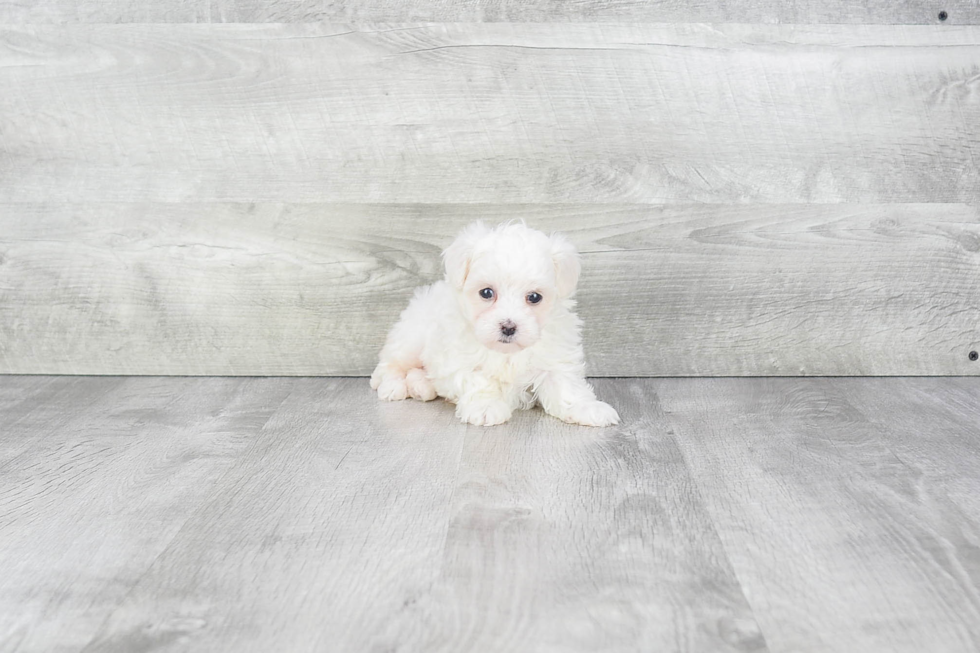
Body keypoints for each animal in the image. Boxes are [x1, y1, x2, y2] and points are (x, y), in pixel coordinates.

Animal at [372, 220, 616, 428]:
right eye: (486, 293)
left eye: (534, 297)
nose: (508, 327)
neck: (506, 353)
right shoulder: (458, 358)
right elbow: (478, 380)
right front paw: (486, 407)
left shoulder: (555, 357)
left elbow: (566, 387)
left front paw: (587, 408)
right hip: (411, 338)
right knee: (390, 364)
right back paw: (393, 386)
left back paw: (421, 385)